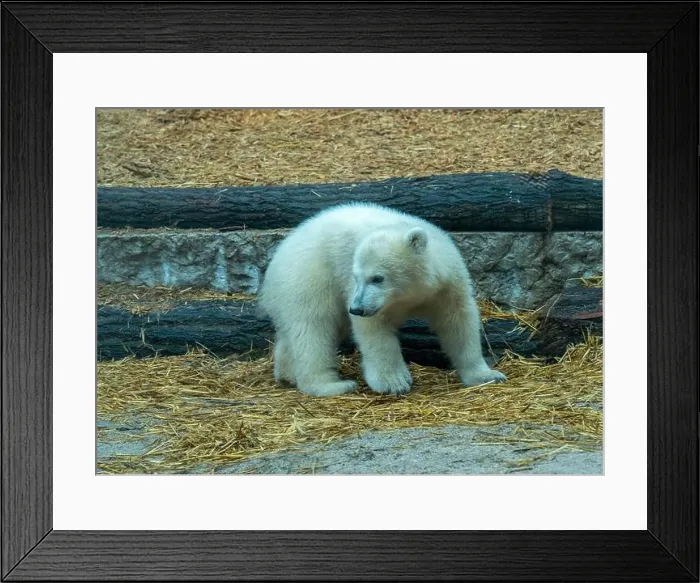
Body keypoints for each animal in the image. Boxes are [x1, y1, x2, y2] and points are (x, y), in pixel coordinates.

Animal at [257, 202, 507, 397]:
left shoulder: (447, 286)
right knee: (314, 328)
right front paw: (394, 382)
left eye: (378, 278)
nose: (356, 308)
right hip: (309, 276)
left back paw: (287, 375)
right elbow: (374, 331)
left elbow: (458, 321)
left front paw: (487, 375)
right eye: (356, 277)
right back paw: (331, 385)